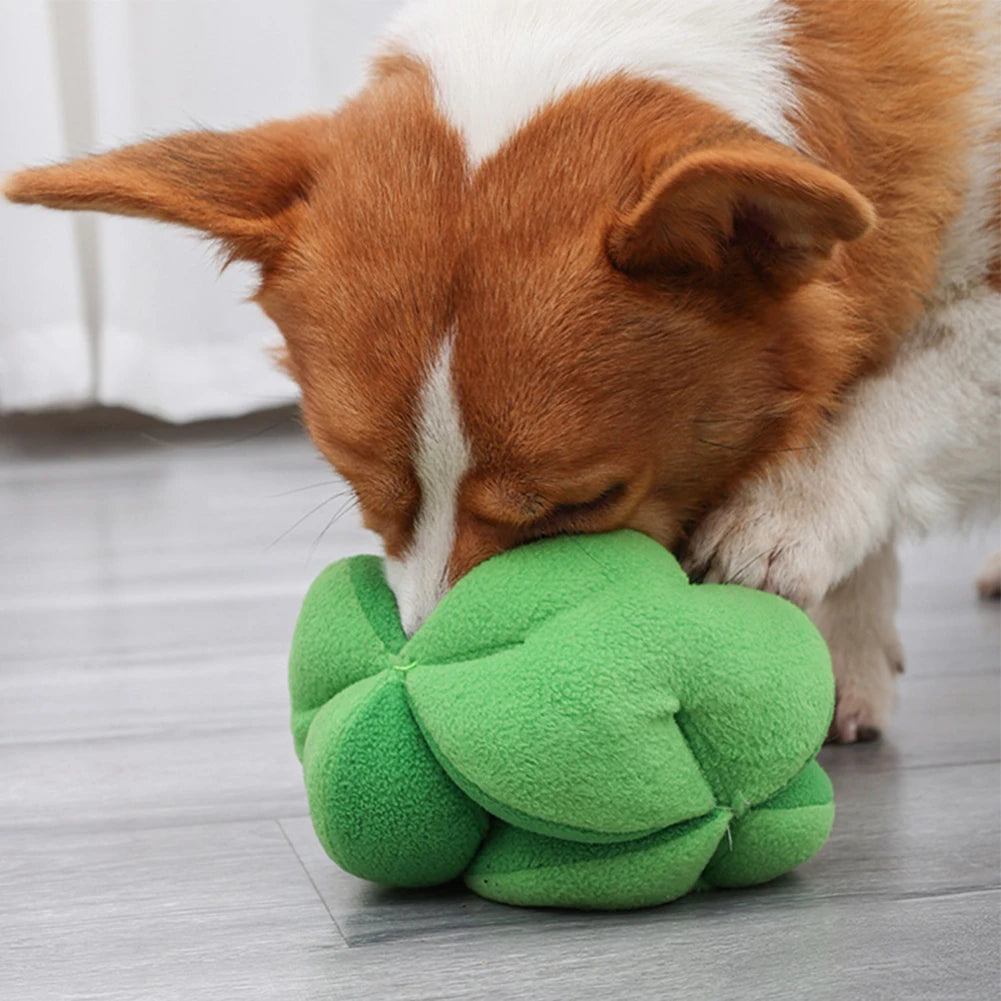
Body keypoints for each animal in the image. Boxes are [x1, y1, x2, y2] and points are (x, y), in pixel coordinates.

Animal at [3, 1, 996, 744]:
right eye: (360, 486)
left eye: (579, 504)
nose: (420, 671)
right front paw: (849, 659)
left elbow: (901, 398)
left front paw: (787, 521)